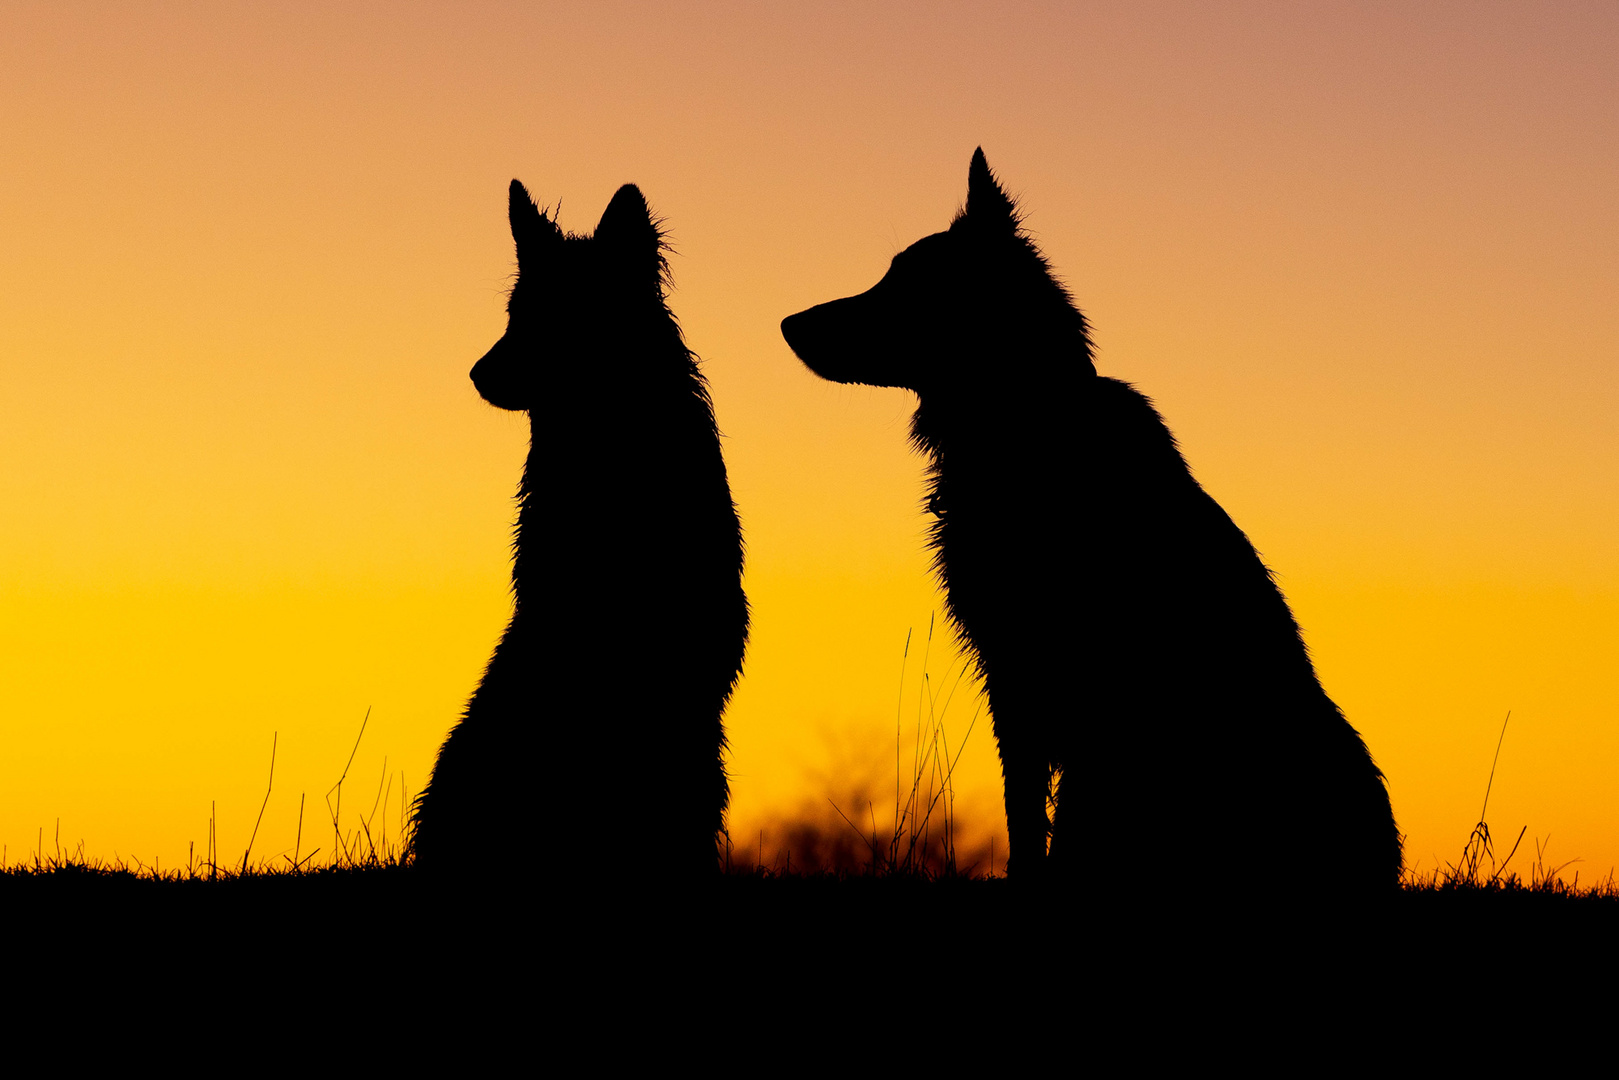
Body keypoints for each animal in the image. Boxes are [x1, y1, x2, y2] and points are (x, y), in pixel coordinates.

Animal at [777, 153, 1398, 893]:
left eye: (905, 285)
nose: (788, 324)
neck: (1030, 423)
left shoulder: (1076, 676)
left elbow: (1063, 814)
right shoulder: (1011, 668)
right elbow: (1023, 806)